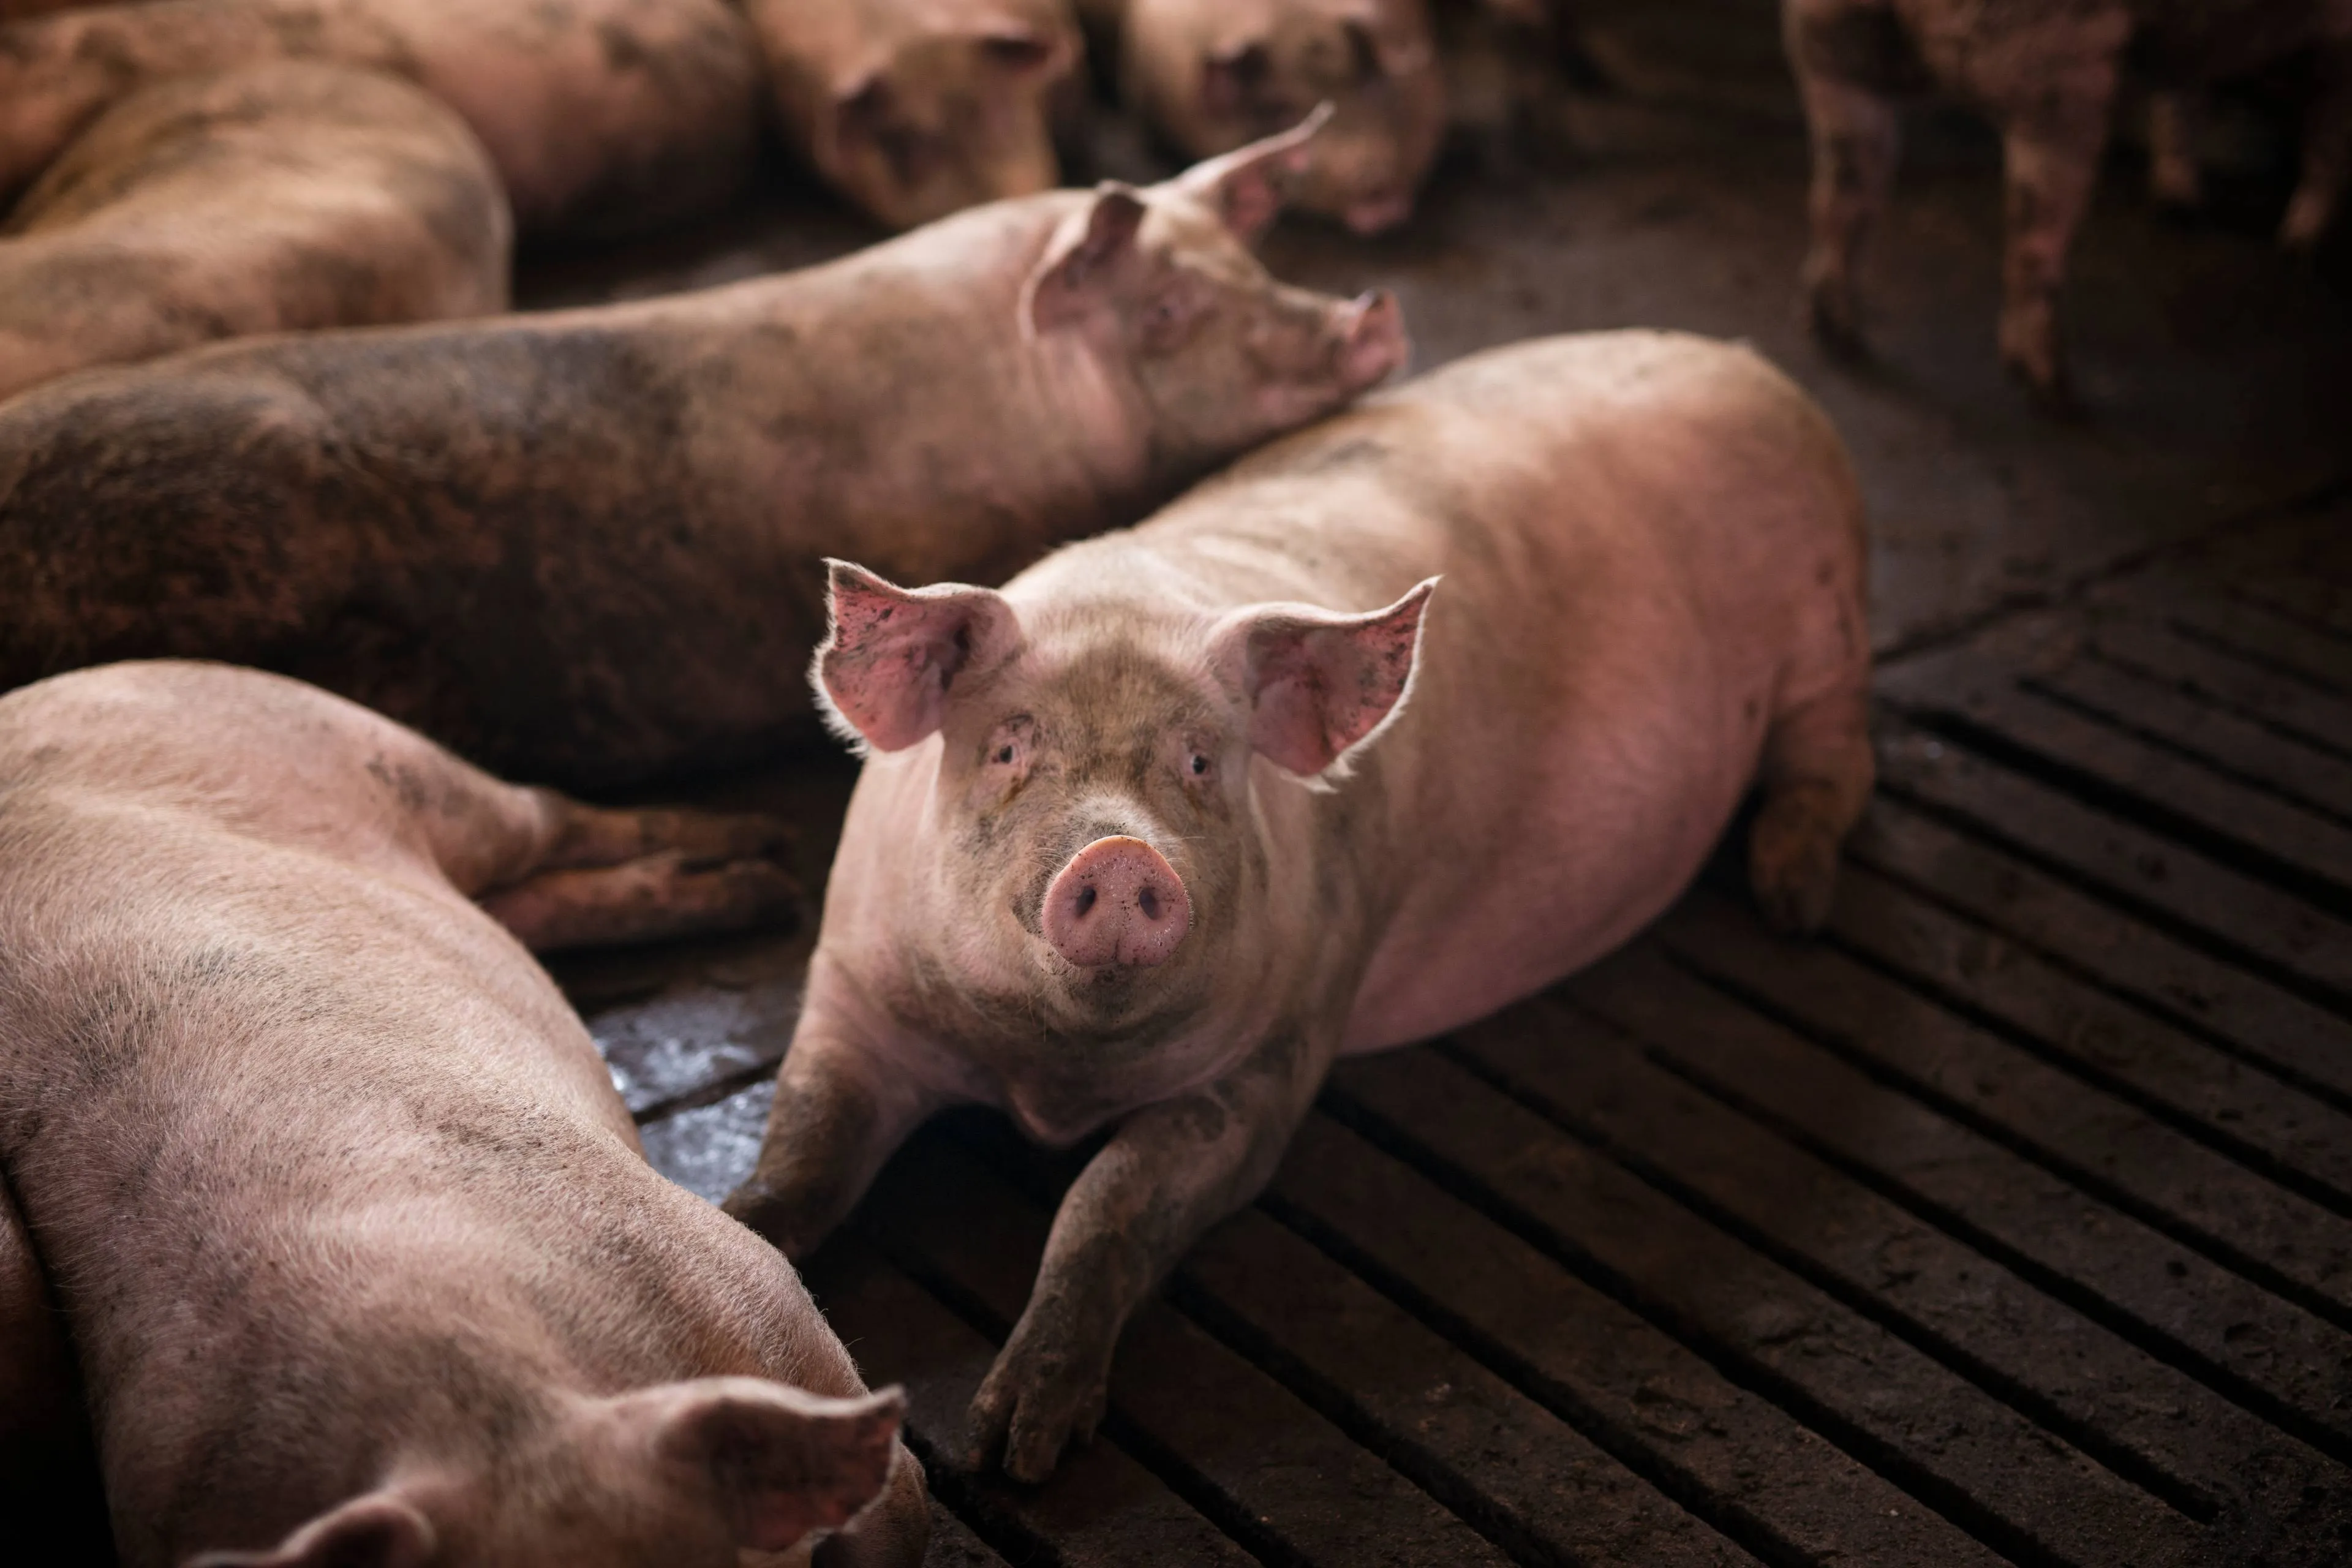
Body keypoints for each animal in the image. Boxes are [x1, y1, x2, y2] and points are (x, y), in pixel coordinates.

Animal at [0, 660, 929, 1567]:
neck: (490, 1406)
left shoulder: (764, 1300)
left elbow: (900, 1491)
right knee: (532, 902)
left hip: (385, 754)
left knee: (549, 815)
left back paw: (765, 860)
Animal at [722, 329, 1875, 1482]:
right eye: (1009, 749)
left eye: (1200, 762)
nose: (1122, 854)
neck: (1048, 1080)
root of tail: (1746, 363)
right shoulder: (850, 991)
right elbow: (805, 1144)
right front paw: (734, 1229)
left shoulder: (1273, 1059)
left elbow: (1107, 1204)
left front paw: (1014, 1451)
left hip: (1828, 623)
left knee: (1834, 759)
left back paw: (1795, 905)